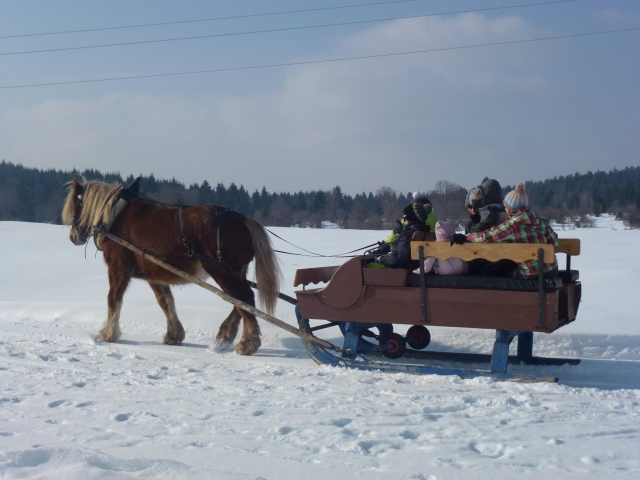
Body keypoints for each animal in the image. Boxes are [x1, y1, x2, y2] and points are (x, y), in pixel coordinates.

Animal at [61, 177, 281, 355]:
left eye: (77, 204)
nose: (72, 237)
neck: (115, 216)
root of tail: (244, 219)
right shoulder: (155, 274)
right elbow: (165, 302)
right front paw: (174, 335)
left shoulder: (118, 269)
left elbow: (113, 299)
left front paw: (108, 333)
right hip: (236, 272)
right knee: (241, 302)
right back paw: (225, 336)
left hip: (222, 270)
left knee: (244, 299)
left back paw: (247, 343)